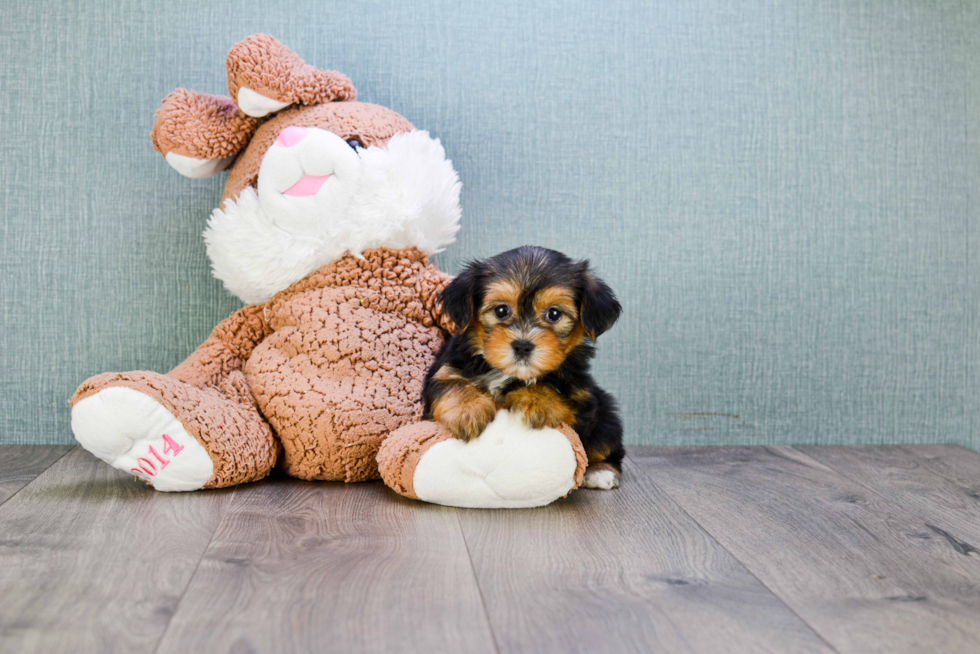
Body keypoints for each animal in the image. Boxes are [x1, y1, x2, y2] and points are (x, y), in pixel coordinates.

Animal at [424, 247, 624, 492]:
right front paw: (468, 409)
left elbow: (562, 400)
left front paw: (537, 400)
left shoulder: (582, 398)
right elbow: (450, 382)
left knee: (608, 447)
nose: (522, 345)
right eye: (501, 310)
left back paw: (601, 472)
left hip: (608, 417)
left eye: (554, 314)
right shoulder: (445, 368)